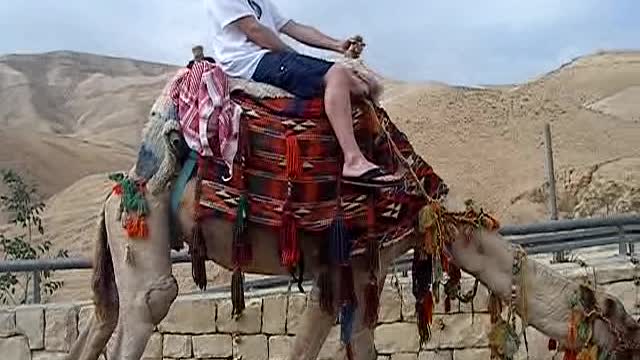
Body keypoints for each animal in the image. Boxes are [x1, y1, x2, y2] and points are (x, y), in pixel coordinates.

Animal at [66, 61, 640, 360]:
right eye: (619, 322)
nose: (633, 344)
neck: (425, 202)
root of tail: (117, 190)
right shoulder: (368, 258)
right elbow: (351, 340)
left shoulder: (342, 269)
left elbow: (324, 338)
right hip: (144, 218)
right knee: (149, 303)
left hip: (120, 238)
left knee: (104, 314)